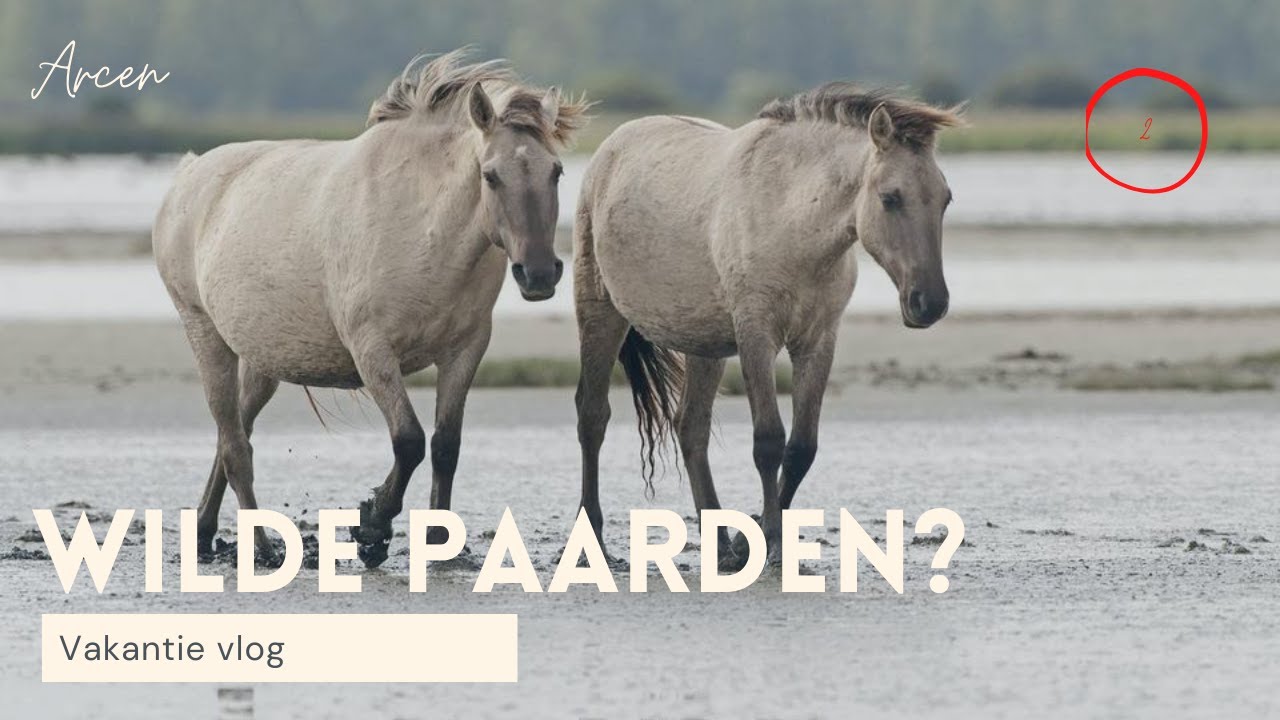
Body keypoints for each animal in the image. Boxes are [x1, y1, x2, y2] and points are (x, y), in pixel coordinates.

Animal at [153, 49, 588, 567]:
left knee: (233, 433)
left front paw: (438, 542)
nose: (539, 274)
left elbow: (446, 444)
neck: (423, 227)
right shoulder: (373, 352)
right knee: (236, 447)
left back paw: (202, 533)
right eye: (491, 175)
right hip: (205, 334)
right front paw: (372, 527)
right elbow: (409, 440)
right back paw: (263, 549)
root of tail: (188, 175)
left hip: (262, 361)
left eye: (556, 172)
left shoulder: (465, 350)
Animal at [573, 84, 961, 568]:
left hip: (703, 345)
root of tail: (609, 149)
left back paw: (720, 547)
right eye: (891, 198)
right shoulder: (756, 335)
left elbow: (801, 448)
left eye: (945, 198)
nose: (930, 303)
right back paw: (593, 541)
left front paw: (748, 541)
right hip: (600, 313)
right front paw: (770, 545)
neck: (791, 220)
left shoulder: (818, 341)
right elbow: (769, 442)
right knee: (592, 416)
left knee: (691, 429)